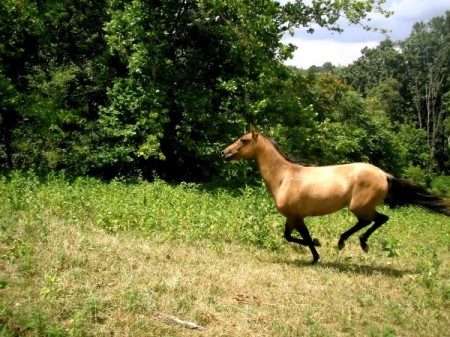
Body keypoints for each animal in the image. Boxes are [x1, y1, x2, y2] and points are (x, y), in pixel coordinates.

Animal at [221, 127, 450, 264]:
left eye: (243, 140)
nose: (224, 153)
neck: (285, 177)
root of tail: (385, 175)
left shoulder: (297, 217)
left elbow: (303, 238)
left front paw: (316, 253)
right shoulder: (292, 218)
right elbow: (288, 236)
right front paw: (317, 249)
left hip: (359, 207)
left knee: (376, 220)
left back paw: (352, 242)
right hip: (361, 208)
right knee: (375, 220)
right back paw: (352, 242)